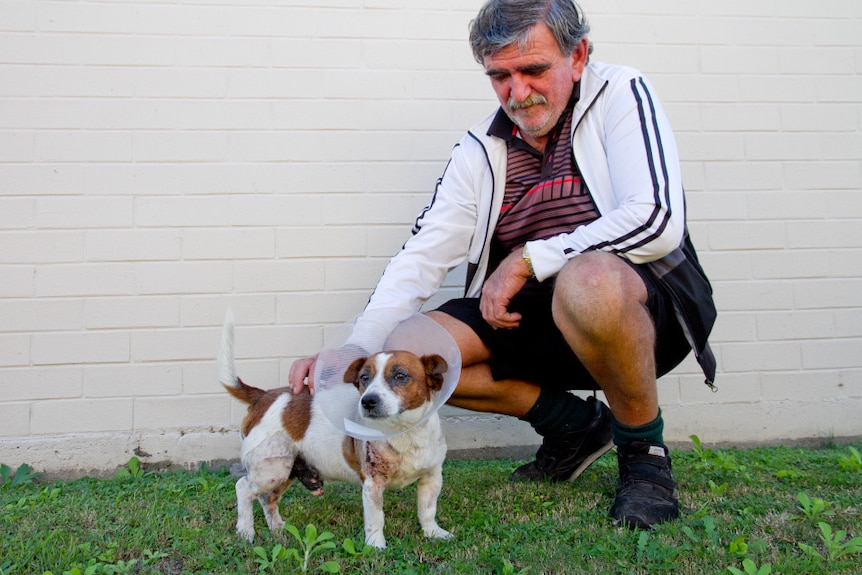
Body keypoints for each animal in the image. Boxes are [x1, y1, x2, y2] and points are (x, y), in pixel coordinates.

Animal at [218, 312, 452, 552]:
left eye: (400, 376)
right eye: (364, 378)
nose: (368, 401)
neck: (403, 433)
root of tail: (263, 396)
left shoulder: (432, 478)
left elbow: (427, 510)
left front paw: (433, 533)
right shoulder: (372, 485)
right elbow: (376, 519)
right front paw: (375, 546)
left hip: (285, 471)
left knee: (267, 499)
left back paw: (278, 528)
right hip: (270, 469)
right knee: (243, 488)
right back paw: (245, 531)